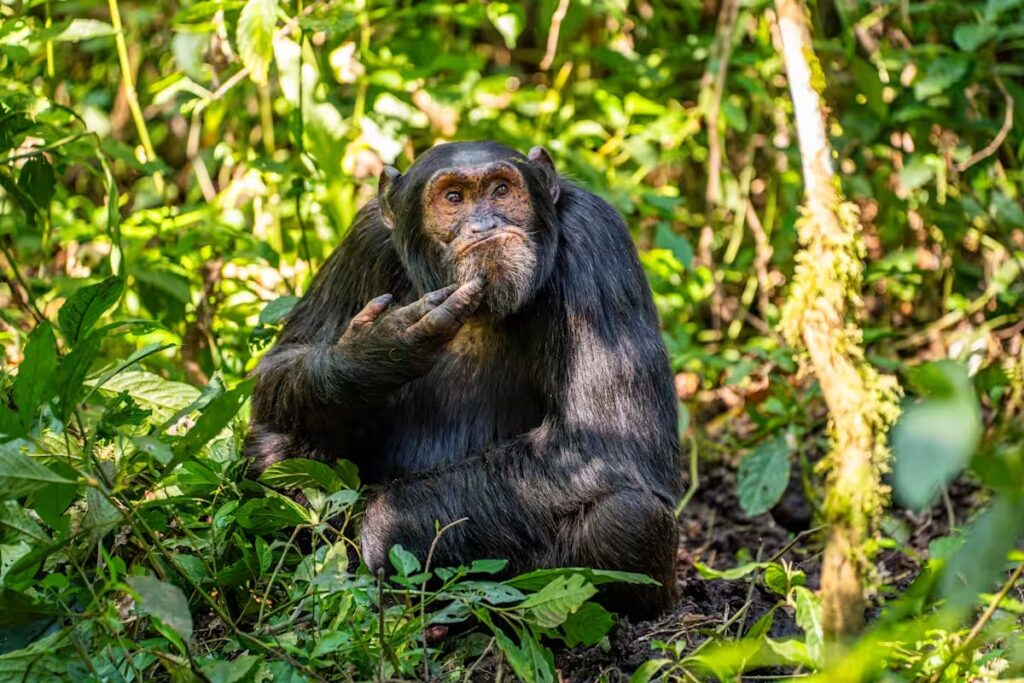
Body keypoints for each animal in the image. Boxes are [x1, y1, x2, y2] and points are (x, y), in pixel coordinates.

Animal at [245, 140, 679, 618]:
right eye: (453, 198)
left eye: (501, 190)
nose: (485, 223)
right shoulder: (364, 239)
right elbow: (281, 361)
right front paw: (375, 352)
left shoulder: (596, 239)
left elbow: (604, 440)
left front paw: (385, 528)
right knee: (277, 443)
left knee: (628, 517)